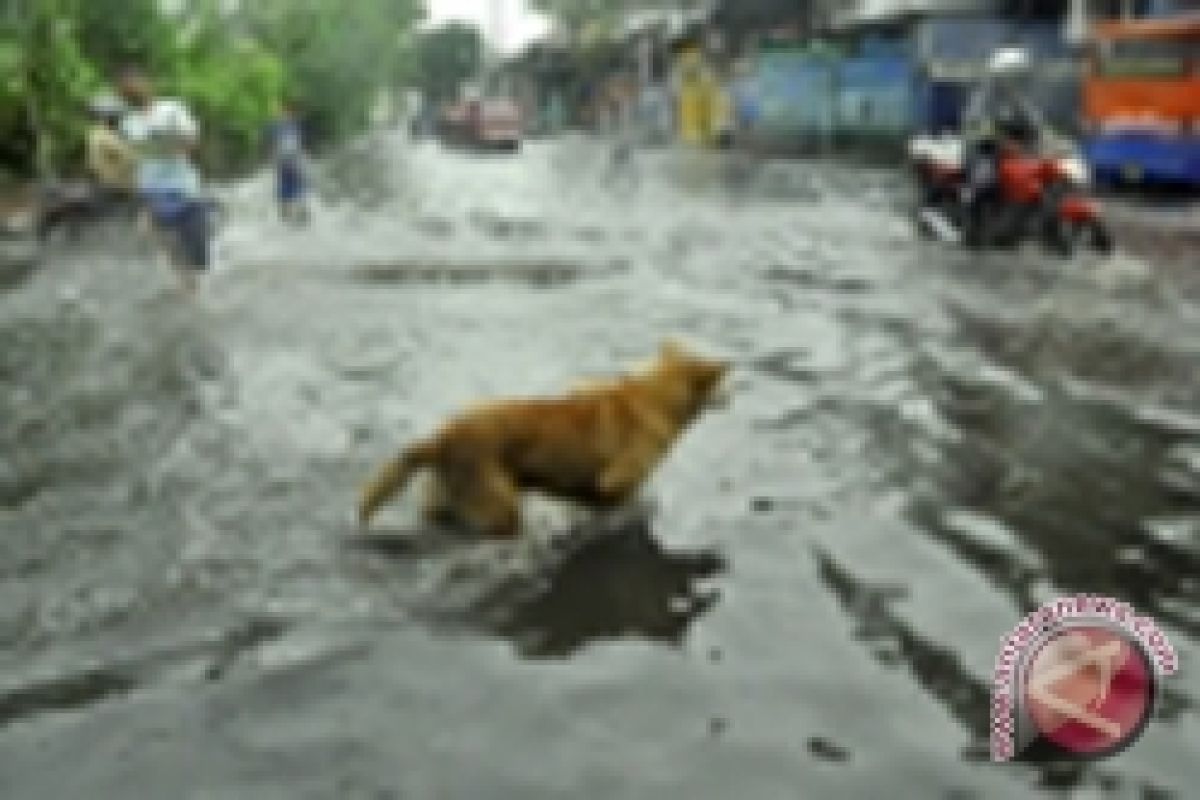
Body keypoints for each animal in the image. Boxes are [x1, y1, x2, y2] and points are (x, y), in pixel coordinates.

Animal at [355, 340, 729, 534]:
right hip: (501, 504)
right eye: (722, 384)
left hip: (445, 498)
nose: (736, 392)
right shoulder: (615, 480)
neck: (656, 399)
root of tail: (441, 439)